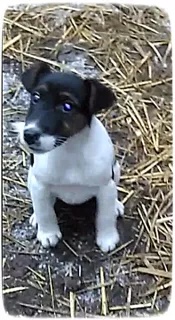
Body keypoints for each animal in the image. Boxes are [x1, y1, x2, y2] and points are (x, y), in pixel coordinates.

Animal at [14, 62, 124, 252]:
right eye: (36, 97)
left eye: (67, 106)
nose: (29, 135)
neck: (69, 150)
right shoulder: (39, 184)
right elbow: (45, 211)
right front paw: (48, 233)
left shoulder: (106, 187)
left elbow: (105, 216)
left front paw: (107, 238)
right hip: (30, 178)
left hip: (116, 170)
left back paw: (116, 206)